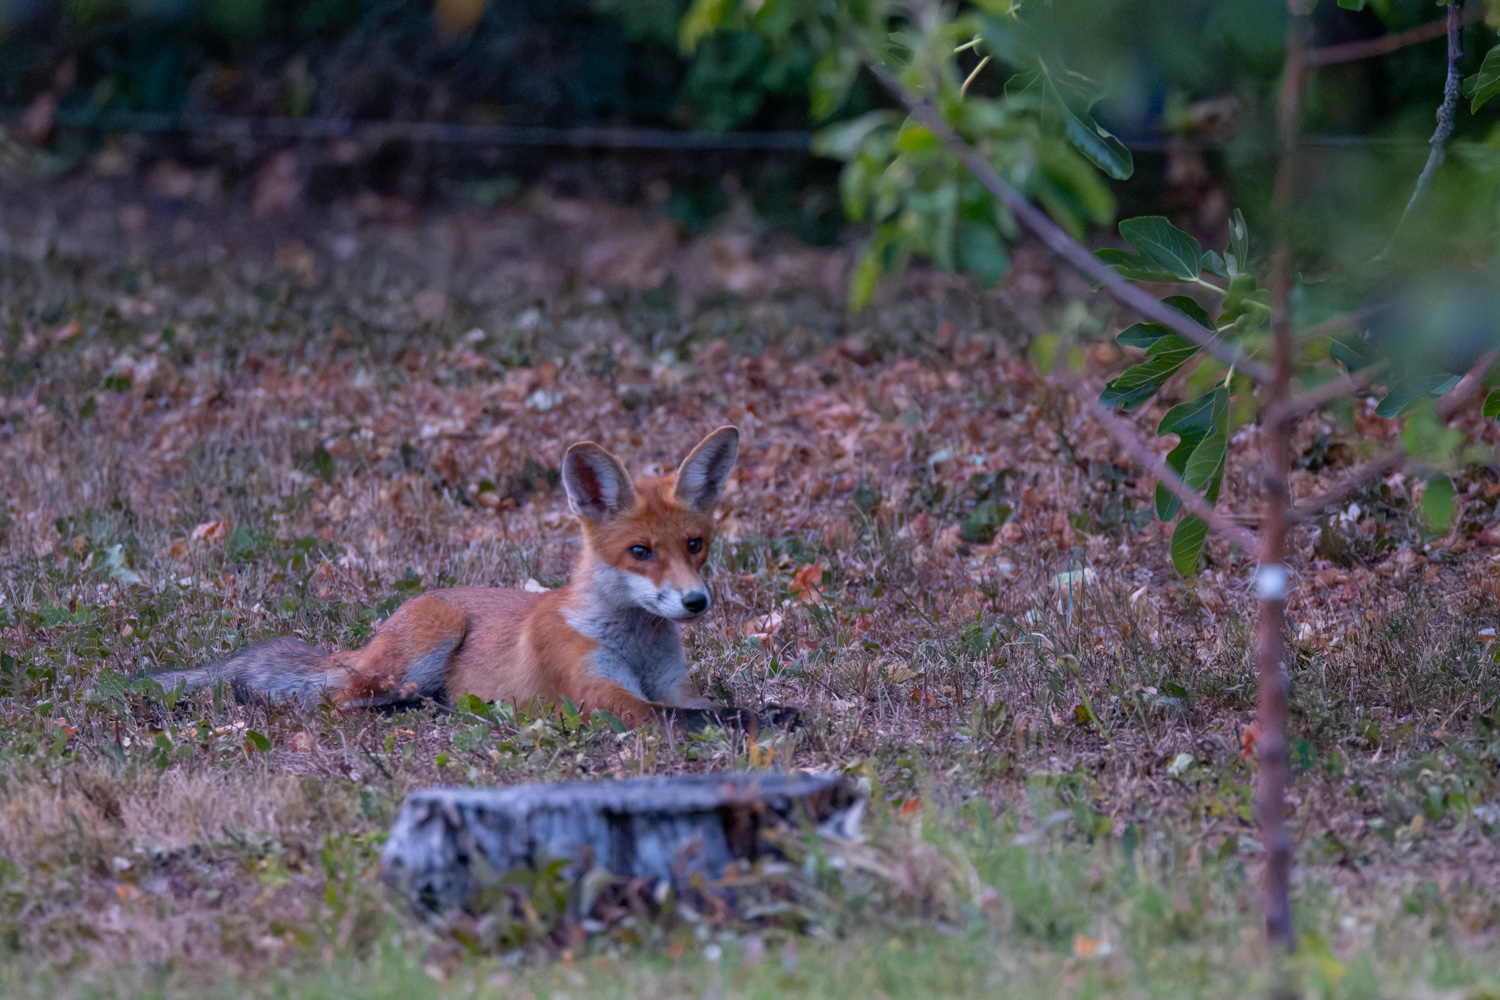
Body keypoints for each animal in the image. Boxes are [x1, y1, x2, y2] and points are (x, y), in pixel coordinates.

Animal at [164, 426, 791, 731]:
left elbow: (703, 705)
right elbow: (700, 718)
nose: (695, 602)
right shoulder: (605, 698)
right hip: (429, 636)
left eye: (694, 545)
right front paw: (762, 719)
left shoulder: (672, 686)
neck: (634, 646)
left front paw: (771, 711)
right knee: (345, 703)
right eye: (640, 552)